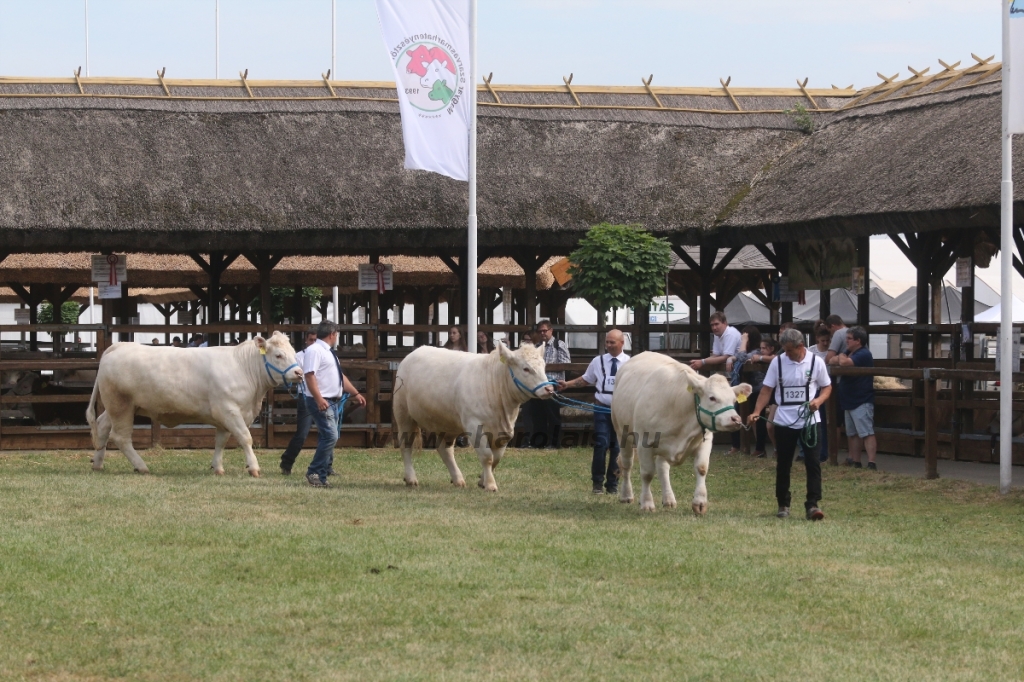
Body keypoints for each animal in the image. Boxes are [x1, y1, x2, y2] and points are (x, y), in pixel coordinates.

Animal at [84, 331, 301, 475]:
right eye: (278, 355)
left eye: (293, 352)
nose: (299, 373)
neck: (243, 368)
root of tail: (118, 346)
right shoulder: (229, 410)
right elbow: (245, 438)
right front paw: (253, 468)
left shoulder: (225, 417)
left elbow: (221, 441)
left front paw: (217, 467)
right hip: (121, 406)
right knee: (121, 437)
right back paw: (141, 466)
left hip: (117, 407)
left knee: (102, 427)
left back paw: (97, 464)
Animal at [389, 339, 552, 489]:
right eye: (526, 369)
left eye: (543, 366)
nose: (549, 389)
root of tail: (414, 353)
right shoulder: (474, 425)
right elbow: (487, 456)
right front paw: (490, 484)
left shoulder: (505, 431)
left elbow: (496, 458)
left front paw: (482, 481)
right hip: (403, 414)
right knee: (406, 445)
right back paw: (411, 478)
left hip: (447, 423)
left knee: (445, 449)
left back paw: (458, 479)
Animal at [606, 350, 753, 516]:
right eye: (712, 397)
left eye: (734, 399)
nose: (735, 419)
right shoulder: (644, 443)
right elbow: (647, 473)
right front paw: (647, 504)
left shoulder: (705, 441)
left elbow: (701, 468)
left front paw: (700, 503)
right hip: (622, 433)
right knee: (626, 464)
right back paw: (626, 495)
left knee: (662, 468)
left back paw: (669, 499)